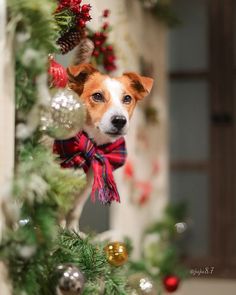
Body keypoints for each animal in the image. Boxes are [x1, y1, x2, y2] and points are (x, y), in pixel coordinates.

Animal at [63, 64, 154, 231]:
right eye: (98, 96)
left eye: (127, 98)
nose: (119, 120)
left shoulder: (85, 185)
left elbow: (74, 211)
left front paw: (72, 232)